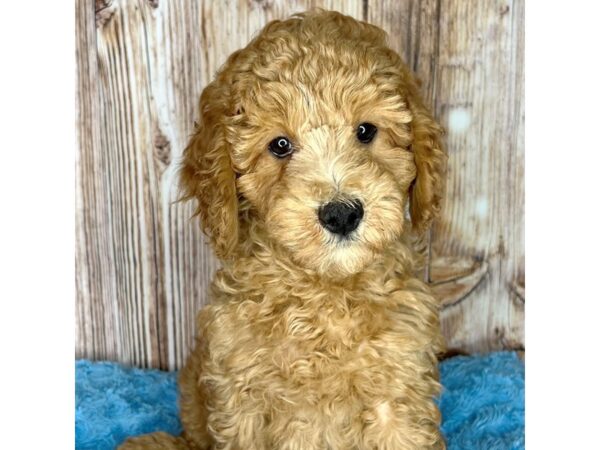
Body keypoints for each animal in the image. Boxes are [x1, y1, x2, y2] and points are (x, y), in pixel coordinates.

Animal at [120, 7, 446, 450]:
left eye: (365, 131)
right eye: (279, 145)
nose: (341, 214)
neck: (324, 291)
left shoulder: (398, 389)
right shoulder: (243, 397)